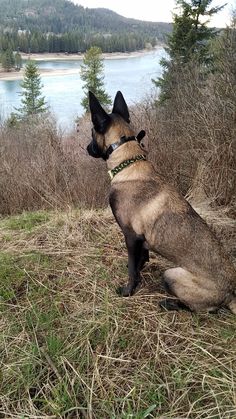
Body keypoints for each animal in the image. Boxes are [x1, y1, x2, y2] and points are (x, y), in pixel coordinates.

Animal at [86, 90, 236, 314]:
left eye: (91, 132)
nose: (87, 148)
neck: (127, 164)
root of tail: (230, 293)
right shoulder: (141, 241)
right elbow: (139, 262)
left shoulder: (131, 236)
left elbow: (133, 270)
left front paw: (128, 290)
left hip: (172, 274)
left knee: (200, 309)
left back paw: (169, 303)